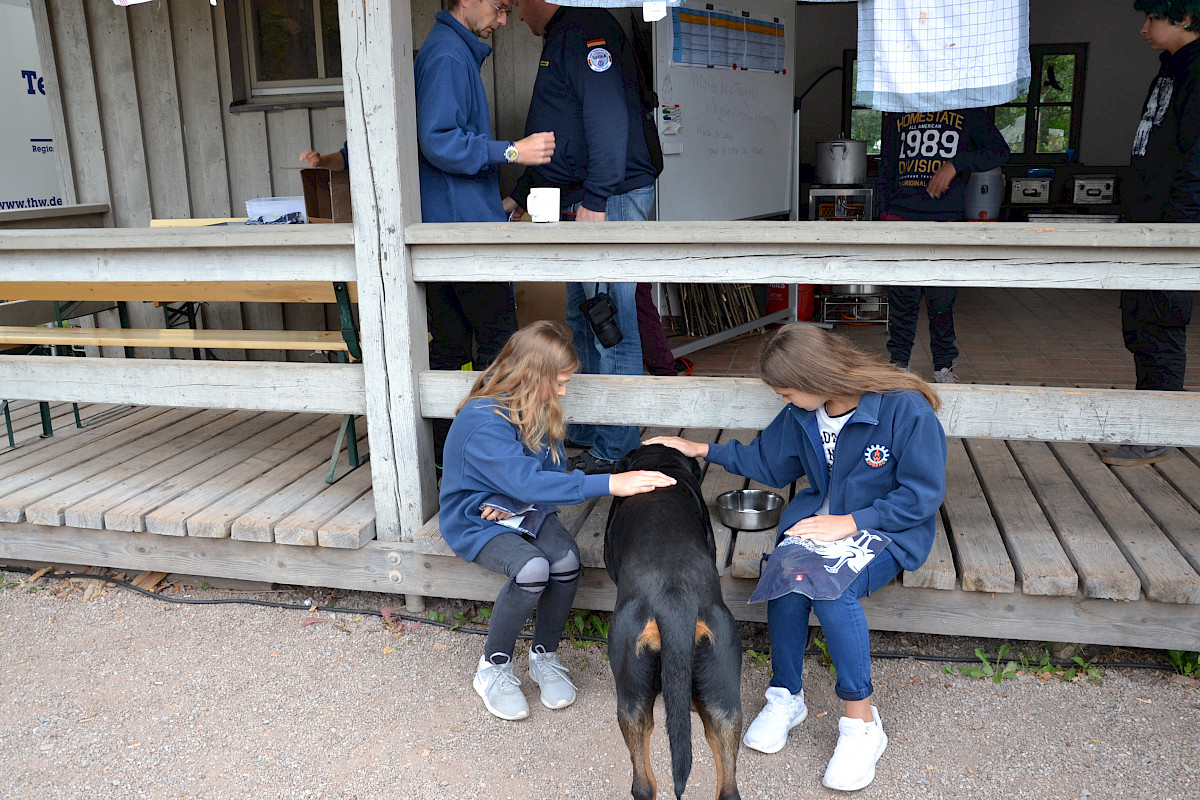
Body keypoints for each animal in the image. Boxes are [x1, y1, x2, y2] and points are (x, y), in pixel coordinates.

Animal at [609, 443, 739, 800]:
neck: (660, 463)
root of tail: (674, 595)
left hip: (631, 698)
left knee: (643, 784)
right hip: (724, 696)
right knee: (728, 787)